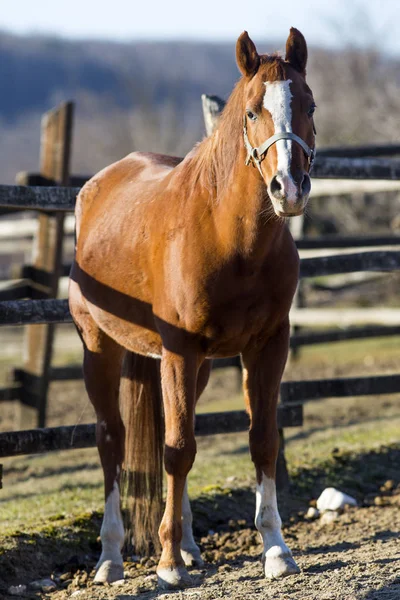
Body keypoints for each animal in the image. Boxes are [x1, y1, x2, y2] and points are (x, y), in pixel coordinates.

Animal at [70, 28, 318, 592]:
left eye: (309, 105)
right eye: (252, 111)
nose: (289, 188)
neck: (229, 237)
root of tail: (96, 187)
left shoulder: (267, 345)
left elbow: (262, 440)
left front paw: (276, 550)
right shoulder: (179, 351)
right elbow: (177, 450)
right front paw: (166, 565)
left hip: (193, 366)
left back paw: (187, 544)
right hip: (102, 348)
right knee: (112, 441)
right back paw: (112, 557)